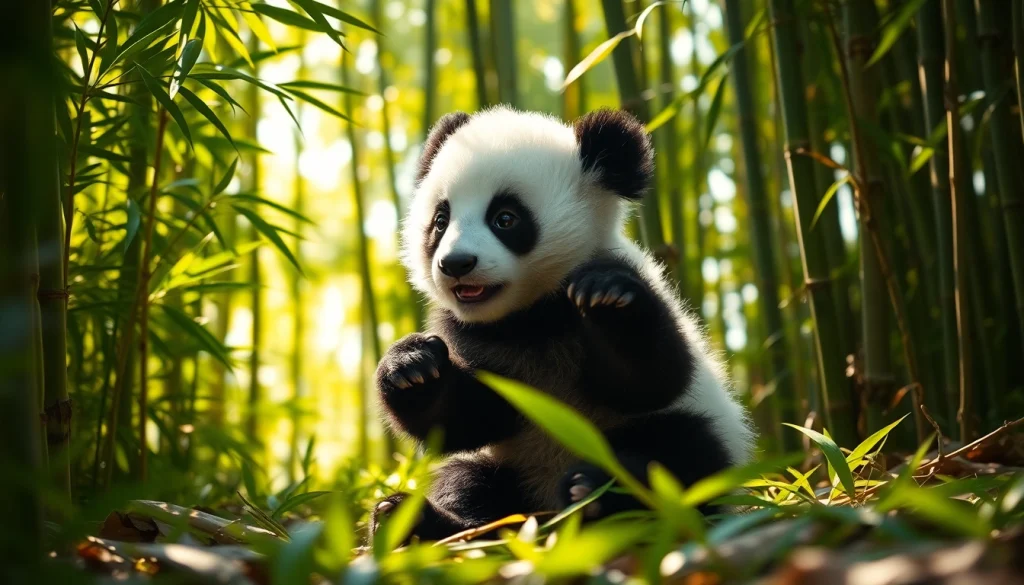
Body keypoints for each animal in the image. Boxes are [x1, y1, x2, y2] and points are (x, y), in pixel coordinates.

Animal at [370, 106, 755, 541]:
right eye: (440, 220)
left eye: (505, 219)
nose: (455, 264)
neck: (532, 315)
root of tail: (545, 514)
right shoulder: (472, 334)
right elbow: (467, 420)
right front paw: (412, 366)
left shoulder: (629, 284)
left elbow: (651, 380)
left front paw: (607, 299)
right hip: (511, 468)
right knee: (467, 480)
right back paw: (418, 521)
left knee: (680, 453)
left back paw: (597, 491)